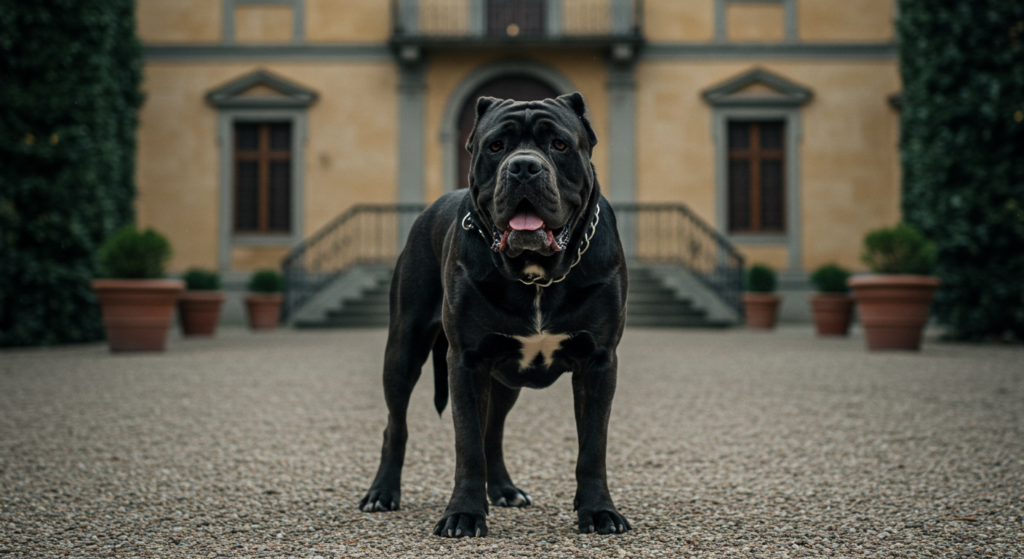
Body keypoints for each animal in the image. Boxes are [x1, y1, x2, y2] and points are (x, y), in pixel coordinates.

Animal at [360, 91, 630, 536]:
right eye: (496, 146)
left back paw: (503, 489)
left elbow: (593, 446)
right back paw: (382, 493)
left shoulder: (598, 362)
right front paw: (464, 514)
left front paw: (598, 510)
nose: (523, 166)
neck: (536, 276)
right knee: (395, 425)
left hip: (505, 378)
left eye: (559, 144)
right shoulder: (467, 362)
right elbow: (467, 444)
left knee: (494, 432)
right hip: (404, 348)